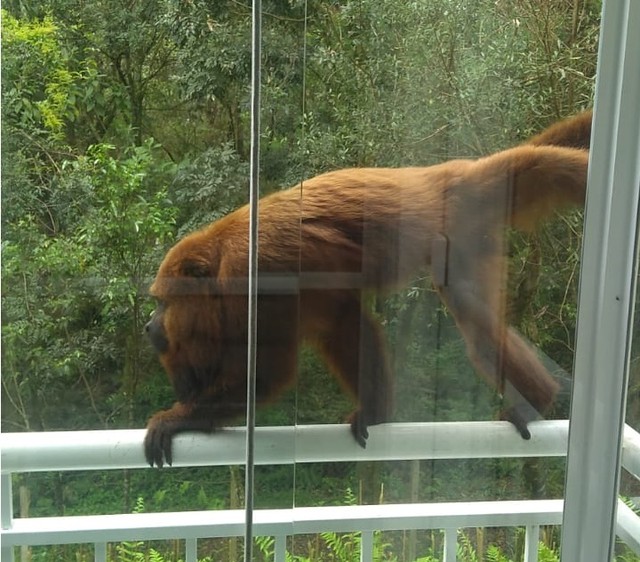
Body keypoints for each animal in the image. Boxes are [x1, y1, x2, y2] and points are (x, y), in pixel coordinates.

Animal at [144, 115, 591, 468]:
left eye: (163, 301)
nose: (149, 324)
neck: (219, 265)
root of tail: (447, 174)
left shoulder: (255, 279)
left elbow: (267, 374)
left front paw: (174, 418)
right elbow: (342, 321)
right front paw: (376, 412)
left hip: (456, 225)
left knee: (470, 313)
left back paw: (534, 401)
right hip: (469, 235)